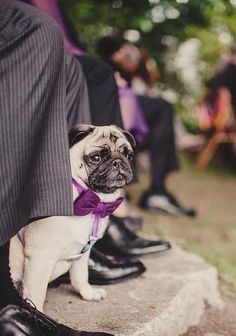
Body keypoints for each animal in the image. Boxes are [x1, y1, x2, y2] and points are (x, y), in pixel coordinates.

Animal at [9, 124, 135, 312]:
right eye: (96, 157)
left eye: (128, 155)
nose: (118, 161)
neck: (94, 204)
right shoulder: (40, 257)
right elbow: (36, 294)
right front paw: (38, 313)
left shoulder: (83, 253)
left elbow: (80, 277)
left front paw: (88, 294)